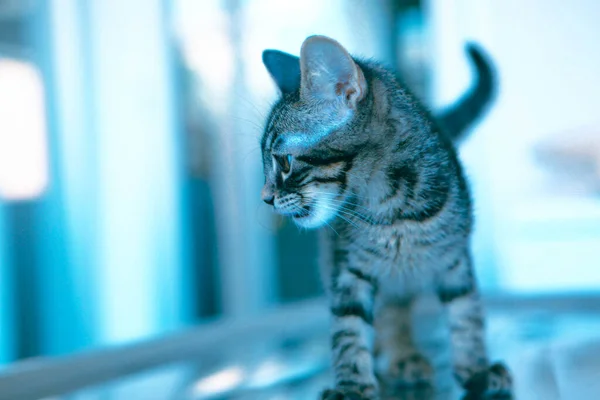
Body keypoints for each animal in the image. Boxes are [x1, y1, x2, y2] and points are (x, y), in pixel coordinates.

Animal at [258, 36, 510, 398]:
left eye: (285, 162)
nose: (265, 198)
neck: (393, 210)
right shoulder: (347, 269)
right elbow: (347, 328)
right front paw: (351, 386)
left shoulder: (455, 257)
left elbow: (466, 312)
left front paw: (476, 370)